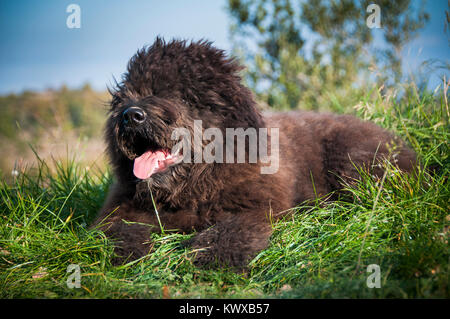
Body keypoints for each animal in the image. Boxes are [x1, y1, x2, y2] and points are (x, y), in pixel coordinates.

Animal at [90, 38, 414, 270]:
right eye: (129, 93)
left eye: (179, 95)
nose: (131, 115)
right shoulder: (119, 210)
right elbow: (117, 231)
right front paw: (129, 254)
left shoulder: (255, 209)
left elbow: (227, 232)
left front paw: (208, 259)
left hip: (352, 162)